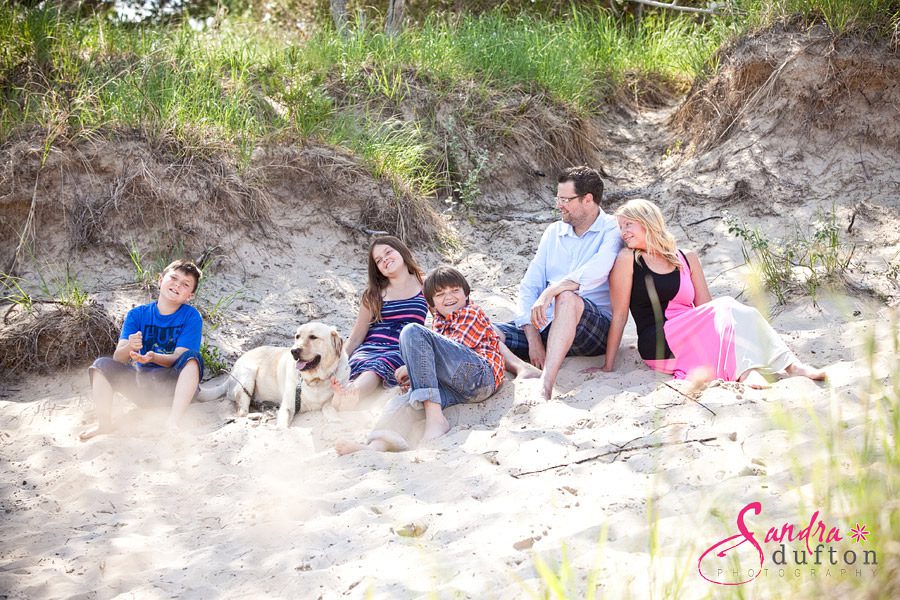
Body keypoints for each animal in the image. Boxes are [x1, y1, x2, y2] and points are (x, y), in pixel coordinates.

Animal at [199, 322, 350, 428]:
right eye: (297, 336)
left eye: (313, 337)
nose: (294, 351)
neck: (315, 380)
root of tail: (231, 372)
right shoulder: (288, 406)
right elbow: (282, 427)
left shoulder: (332, 400)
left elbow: (329, 408)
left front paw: (336, 420)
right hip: (247, 375)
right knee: (242, 411)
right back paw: (257, 414)